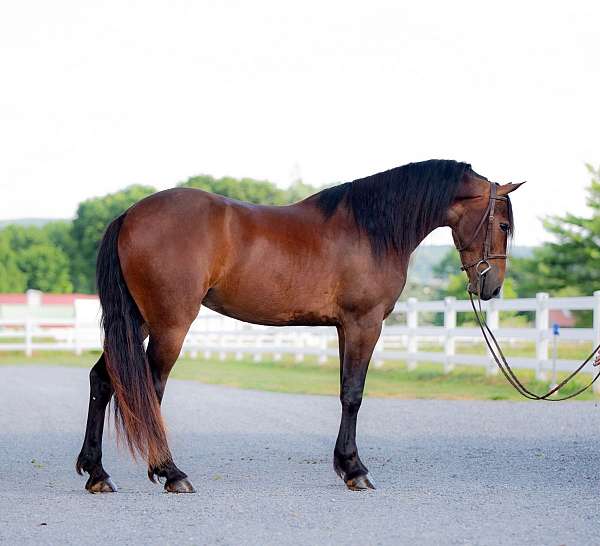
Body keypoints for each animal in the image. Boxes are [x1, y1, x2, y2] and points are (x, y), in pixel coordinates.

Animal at [77, 159, 524, 490]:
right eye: (503, 225)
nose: (492, 287)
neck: (370, 230)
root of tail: (129, 215)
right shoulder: (365, 324)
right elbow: (353, 394)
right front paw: (356, 471)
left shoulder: (346, 327)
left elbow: (345, 391)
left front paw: (345, 464)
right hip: (169, 325)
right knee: (150, 388)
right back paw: (170, 472)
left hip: (137, 321)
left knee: (103, 378)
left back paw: (97, 473)